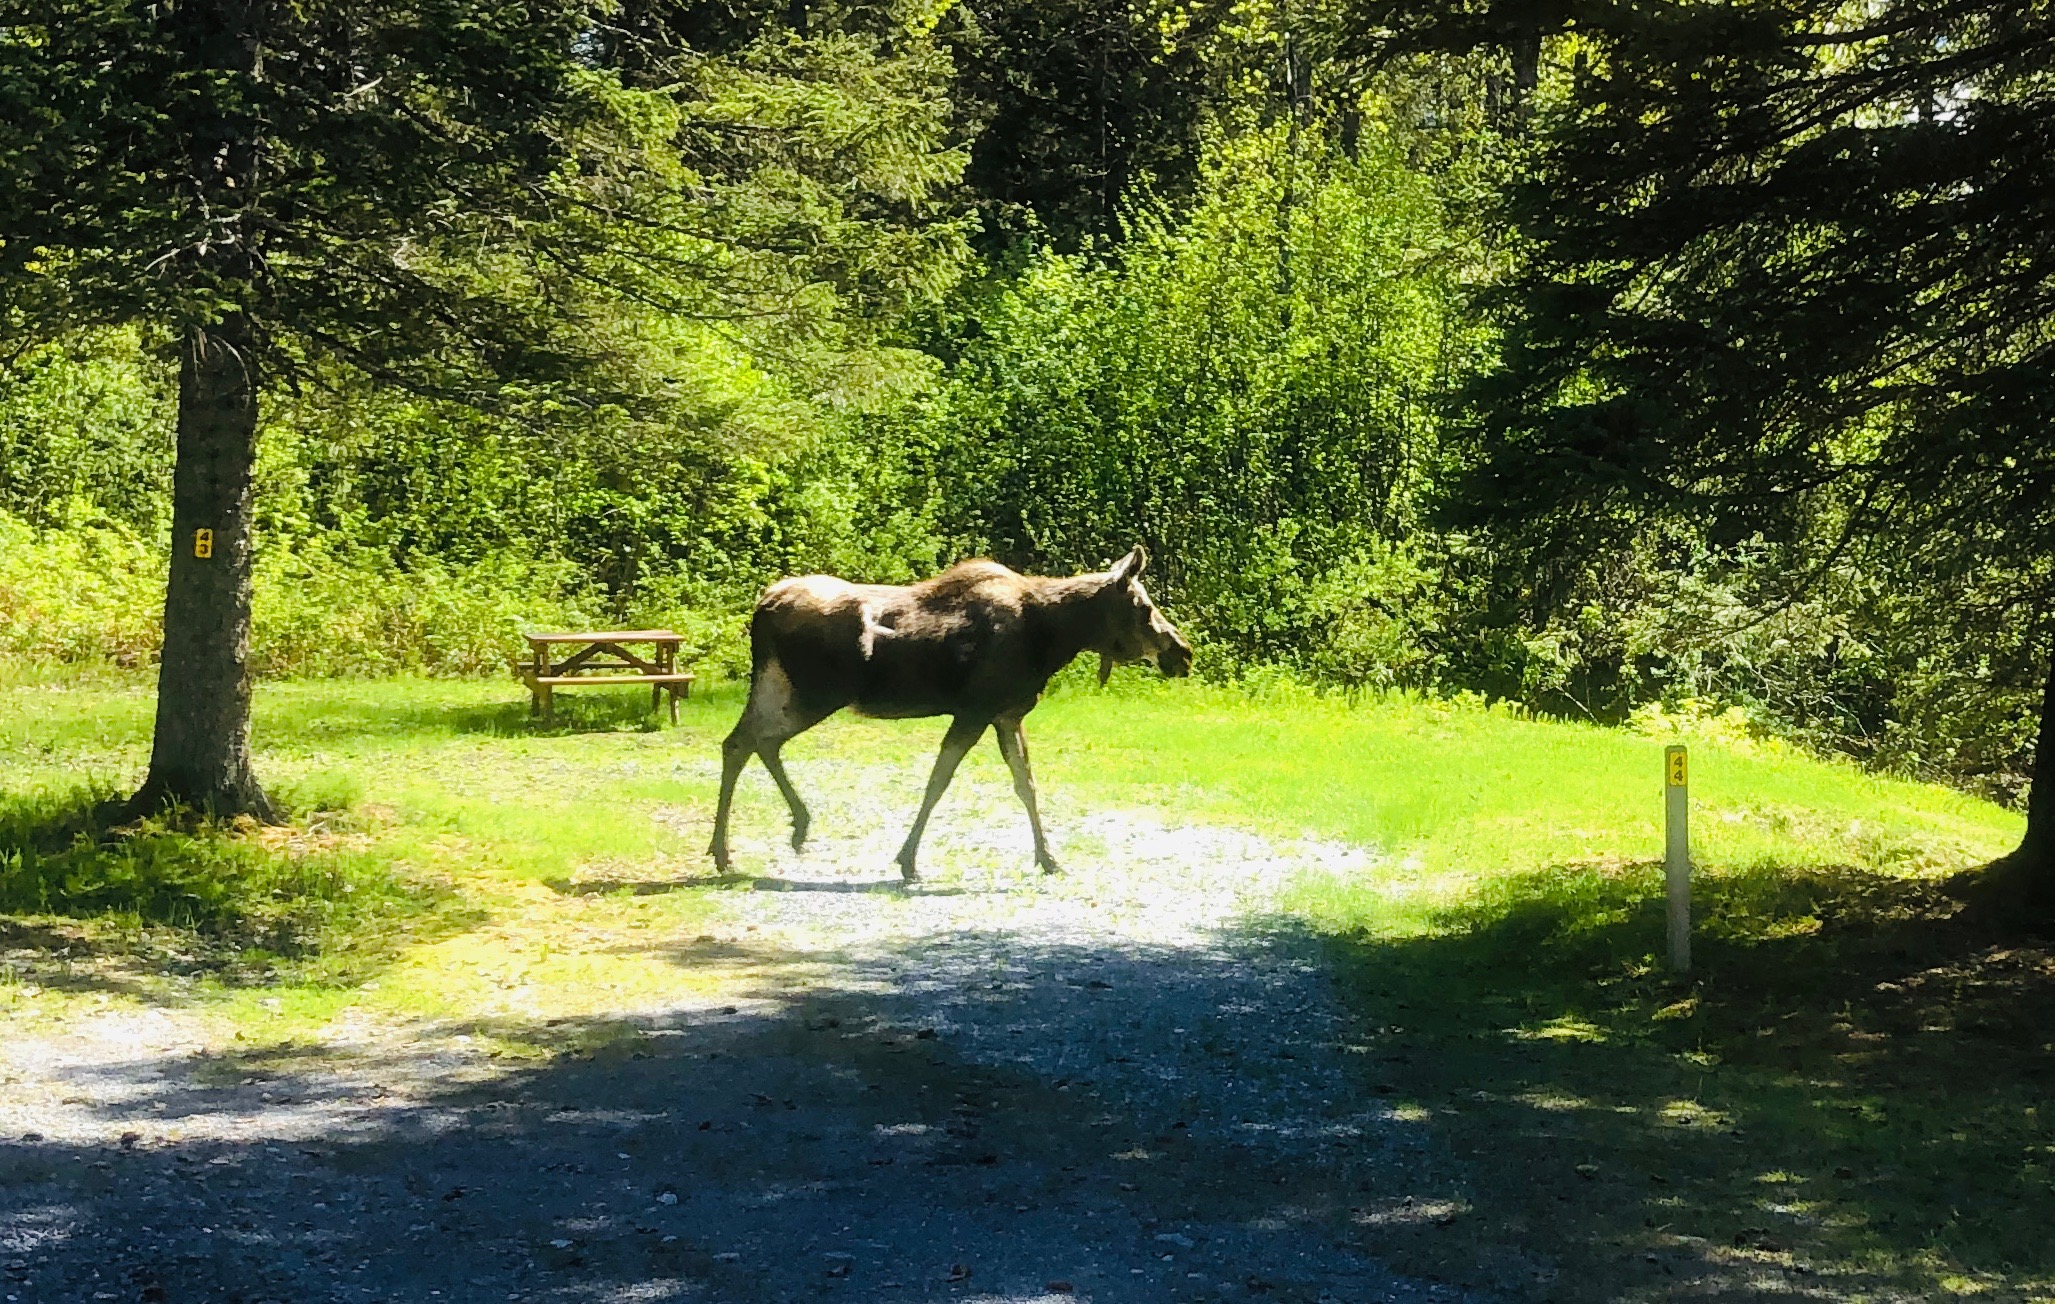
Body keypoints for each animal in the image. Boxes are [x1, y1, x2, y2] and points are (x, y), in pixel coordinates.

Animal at [708, 546, 1192, 881]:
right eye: (1144, 607)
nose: (1182, 653)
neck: (1053, 638)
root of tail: (762, 606)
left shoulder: (1006, 715)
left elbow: (1026, 784)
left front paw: (1048, 858)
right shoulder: (976, 711)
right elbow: (939, 781)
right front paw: (907, 860)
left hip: (780, 686)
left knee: (741, 742)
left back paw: (740, 845)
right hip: (814, 693)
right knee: (755, 740)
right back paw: (766, 837)